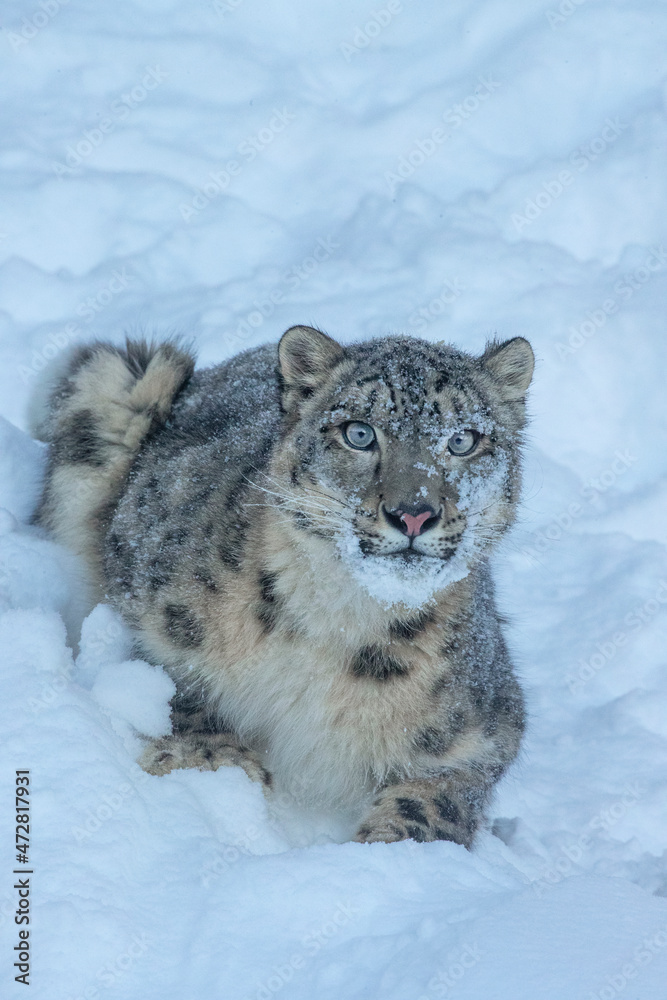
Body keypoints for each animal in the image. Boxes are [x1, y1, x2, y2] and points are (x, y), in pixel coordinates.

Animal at [30, 324, 534, 846]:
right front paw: (216, 765)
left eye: (462, 440)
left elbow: (433, 805)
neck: (341, 617)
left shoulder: (481, 731)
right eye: (359, 433)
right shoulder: (151, 617)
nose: (413, 514)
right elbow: (175, 692)